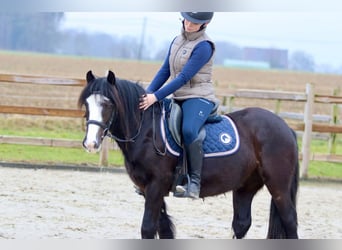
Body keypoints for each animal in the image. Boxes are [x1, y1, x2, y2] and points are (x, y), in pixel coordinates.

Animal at [79, 70, 298, 238]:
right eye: (87, 104)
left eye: (108, 104)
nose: (90, 143)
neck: (146, 130)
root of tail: (285, 127)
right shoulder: (148, 189)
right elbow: (163, 229)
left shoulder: (156, 186)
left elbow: (148, 228)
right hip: (246, 187)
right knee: (242, 224)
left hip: (278, 186)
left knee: (290, 221)